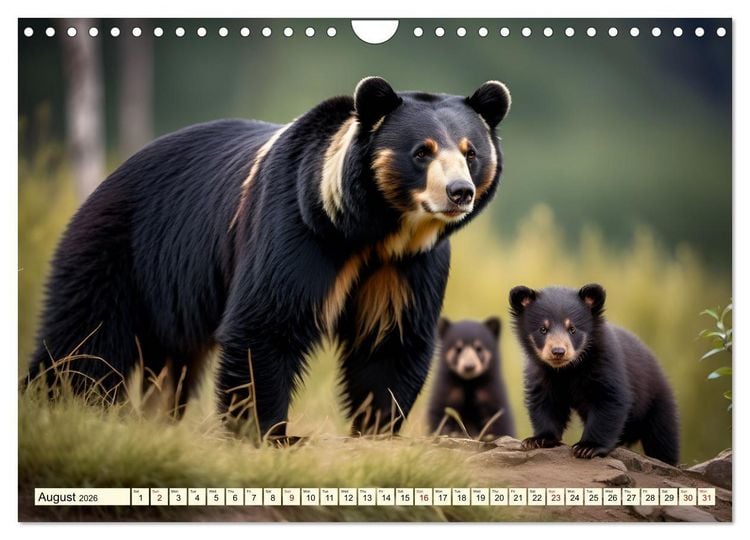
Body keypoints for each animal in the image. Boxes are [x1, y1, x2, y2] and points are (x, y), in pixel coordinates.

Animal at [27, 76, 511, 438]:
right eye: (422, 151)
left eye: (471, 152)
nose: (459, 192)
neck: (372, 230)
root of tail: (109, 177)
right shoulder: (296, 229)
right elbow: (267, 323)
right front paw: (265, 431)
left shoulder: (407, 266)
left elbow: (390, 342)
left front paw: (375, 428)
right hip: (122, 250)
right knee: (83, 340)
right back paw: (58, 407)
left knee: (169, 364)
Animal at [508, 284, 679, 465]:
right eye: (543, 329)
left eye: (572, 329)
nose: (558, 352)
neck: (567, 369)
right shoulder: (542, 373)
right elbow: (546, 402)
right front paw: (537, 440)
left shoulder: (605, 363)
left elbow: (609, 400)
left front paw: (587, 447)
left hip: (657, 402)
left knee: (662, 438)